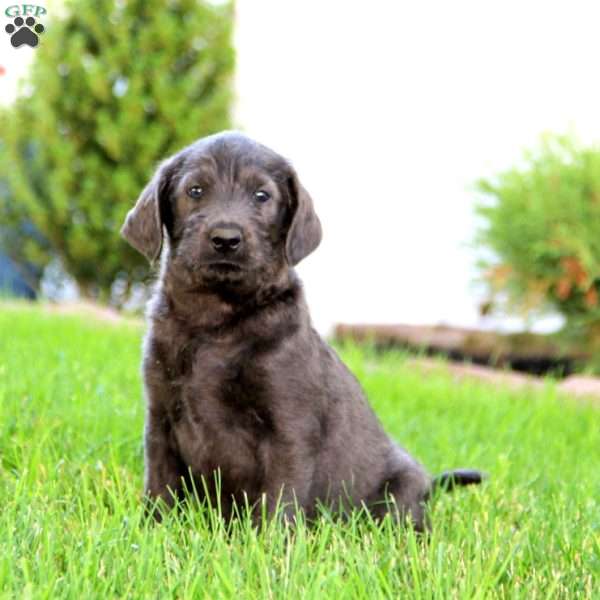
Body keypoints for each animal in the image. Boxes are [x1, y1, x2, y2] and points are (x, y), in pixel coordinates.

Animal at [122, 131, 482, 528]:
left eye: (261, 196)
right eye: (195, 190)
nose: (226, 238)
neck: (216, 320)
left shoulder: (289, 430)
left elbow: (279, 500)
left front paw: (269, 543)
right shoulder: (161, 418)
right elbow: (160, 483)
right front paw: (152, 530)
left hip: (399, 490)